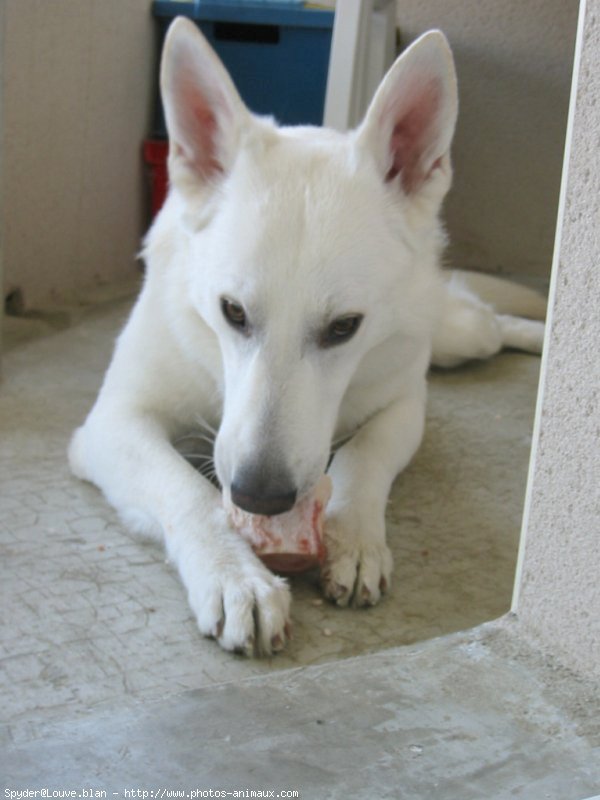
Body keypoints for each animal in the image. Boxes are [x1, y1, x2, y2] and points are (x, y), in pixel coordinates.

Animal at [69, 20, 544, 656]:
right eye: (231, 312)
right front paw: (234, 574)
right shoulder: (112, 424)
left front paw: (355, 538)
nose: (260, 496)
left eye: (345, 328)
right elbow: (188, 492)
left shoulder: (404, 405)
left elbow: (363, 459)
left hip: (458, 336)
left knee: (492, 322)